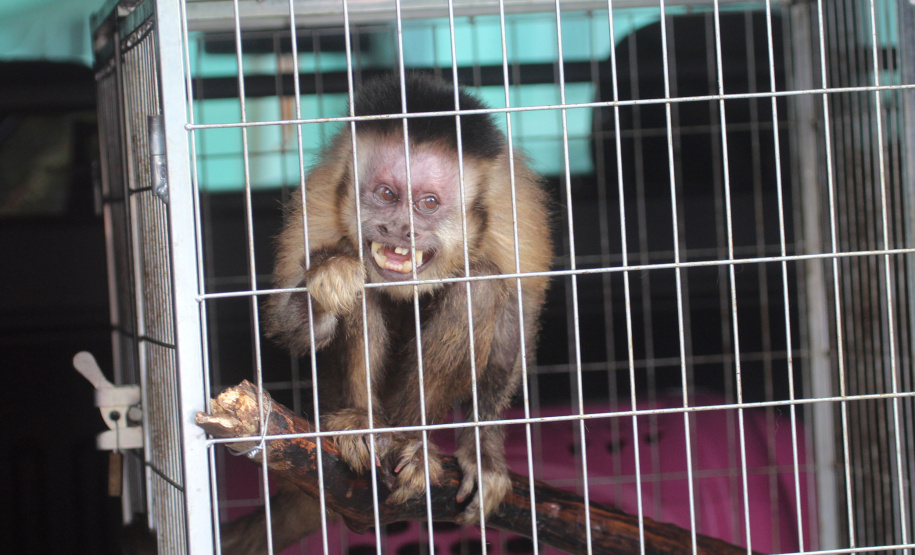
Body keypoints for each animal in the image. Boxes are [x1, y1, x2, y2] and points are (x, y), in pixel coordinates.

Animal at [223, 73, 552, 553]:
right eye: (386, 194)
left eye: (429, 203)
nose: (399, 229)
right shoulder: (318, 203)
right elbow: (295, 321)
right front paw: (330, 281)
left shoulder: (514, 214)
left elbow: (517, 321)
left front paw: (482, 448)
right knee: (365, 292)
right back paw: (364, 424)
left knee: (482, 285)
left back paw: (412, 444)